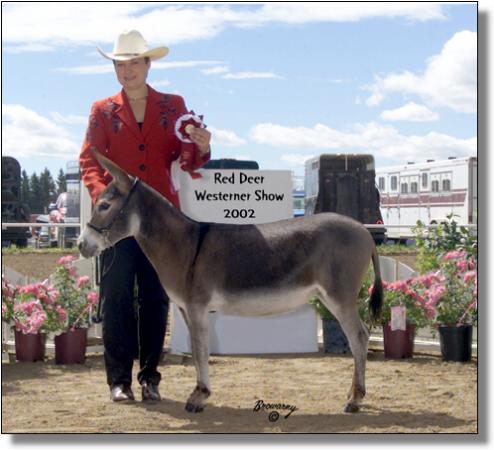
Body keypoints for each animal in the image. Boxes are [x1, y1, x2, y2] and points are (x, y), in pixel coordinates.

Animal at [78, 149, 383, 414]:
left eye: (104, 205)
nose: (82, 245)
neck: (185, 244)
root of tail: (364, 232)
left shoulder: (197, 307)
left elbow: (200, 351)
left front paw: (199, 396)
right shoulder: (186, 309)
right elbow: (196, 349)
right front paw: (200, 392)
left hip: (339, 297)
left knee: (359, 336)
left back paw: (354, 400)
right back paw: (353, 395)